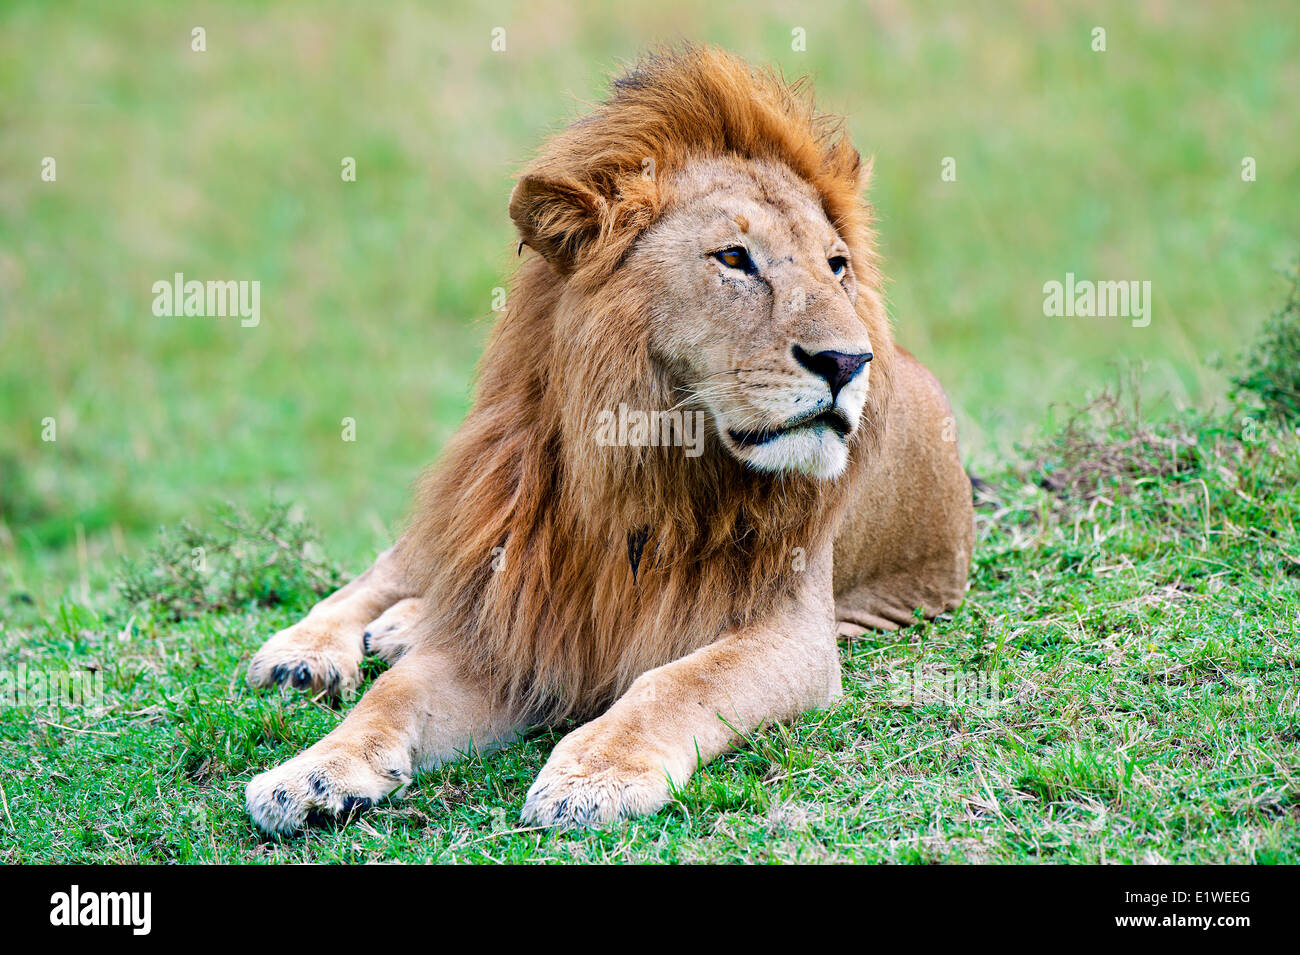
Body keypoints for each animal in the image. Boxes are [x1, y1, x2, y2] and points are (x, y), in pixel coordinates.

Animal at [243, 46, 974, 834]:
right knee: (393, 573)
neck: (646, 465)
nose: (847, 362)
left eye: (838, 267)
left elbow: (676, 682)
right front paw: (311, 773)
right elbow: (395, 695)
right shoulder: (523, 624)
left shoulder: (792, 632)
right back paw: (304, 652)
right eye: (734, 259)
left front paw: (595, 773)